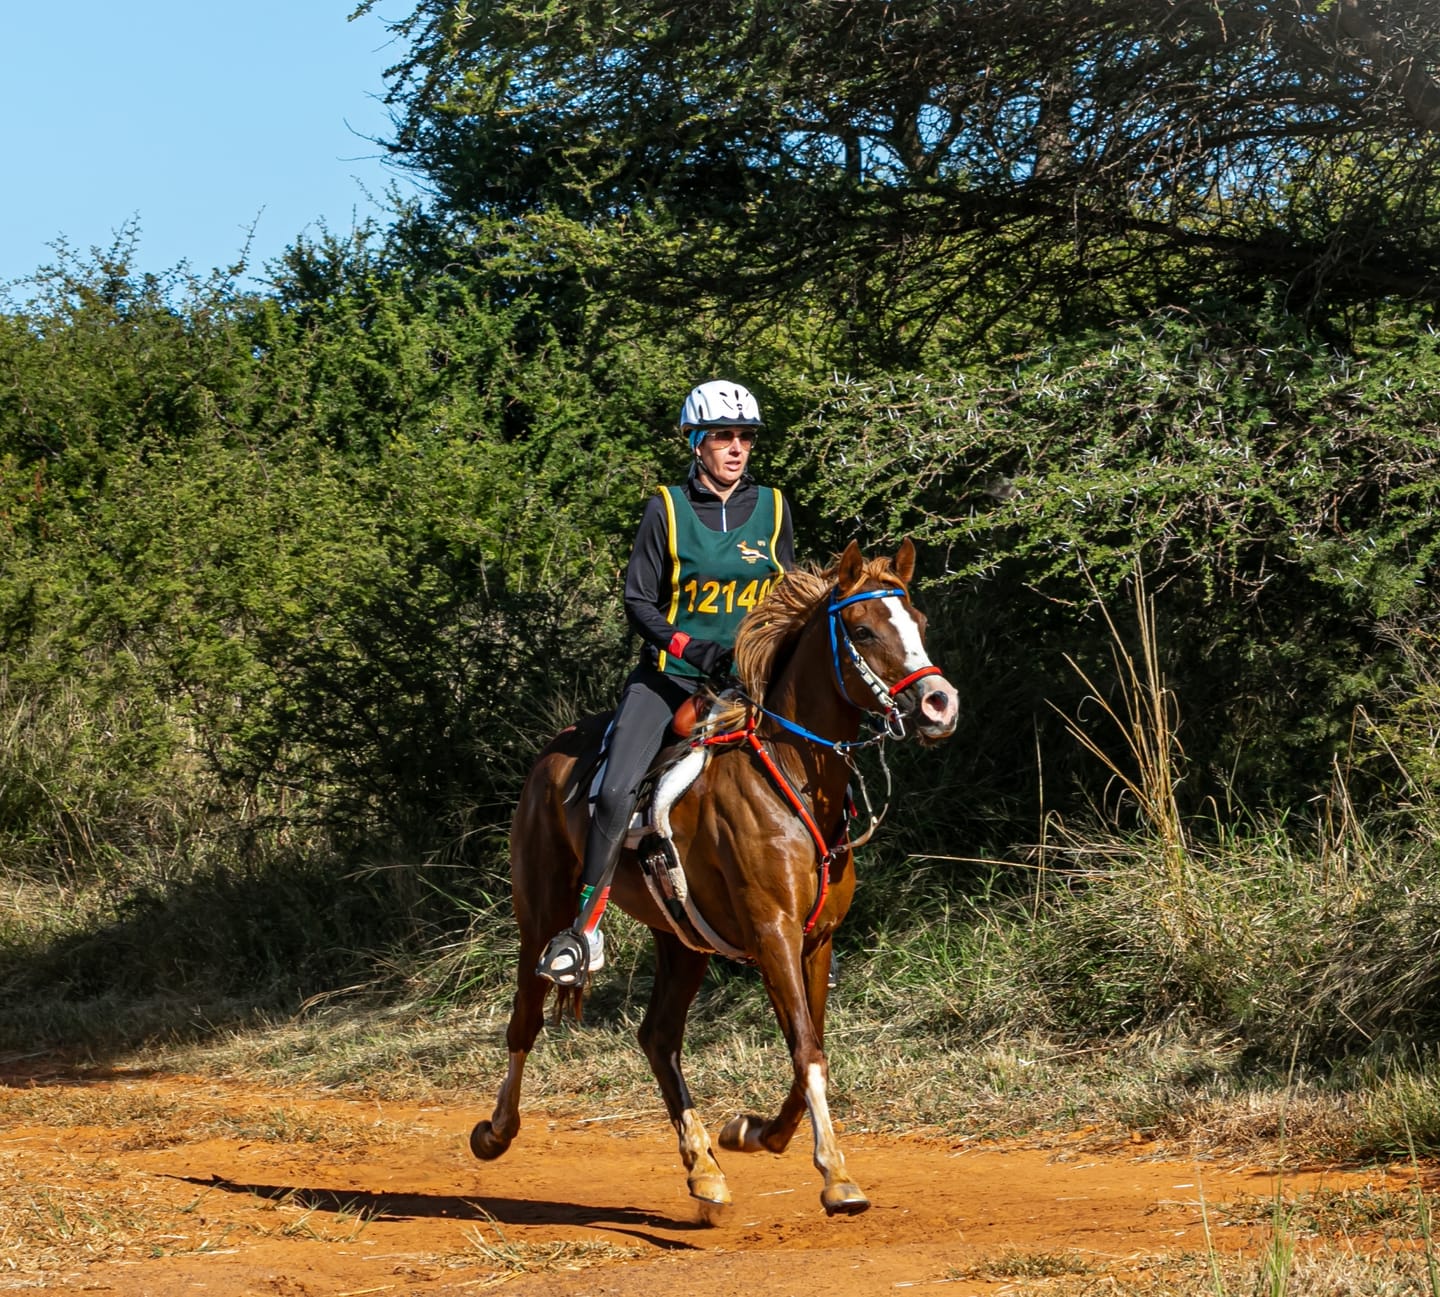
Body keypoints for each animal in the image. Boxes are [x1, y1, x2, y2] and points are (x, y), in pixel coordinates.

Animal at [469, 539, 958, 1216]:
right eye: (862, 630)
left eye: (920, 622)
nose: (940, 703)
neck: (790, 772)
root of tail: (552, 752)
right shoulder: (773, 933)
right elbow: (806, 1049)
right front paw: (836, 1176)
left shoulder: (815, 940)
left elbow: (810, 1047)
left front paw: (753, 1132)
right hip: (540, 914)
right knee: (526, 1017)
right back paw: (496, 1131)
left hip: (683, 941)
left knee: (657, 1037)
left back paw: (703, 1168)